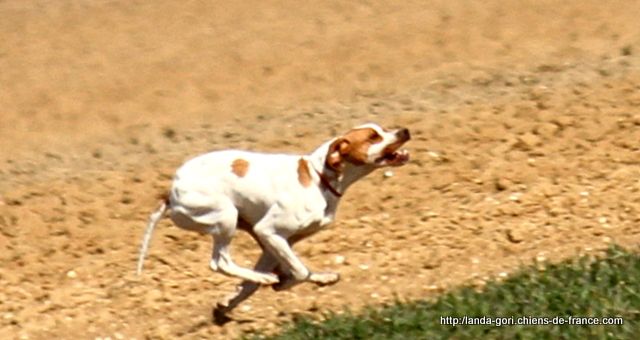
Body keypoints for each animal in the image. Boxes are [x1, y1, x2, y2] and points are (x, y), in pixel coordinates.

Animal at [138, 121, 412, 322]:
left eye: (383, 129)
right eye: (373, 137)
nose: (404, 131)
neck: (319, 177)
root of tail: (170, 192)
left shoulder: (273, 242)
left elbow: (257, 283)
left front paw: (227, 303)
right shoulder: (268, 231)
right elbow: (299, 271)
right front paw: (280, 283)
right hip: (226, 217)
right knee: (220, 262)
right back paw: (268, 279)